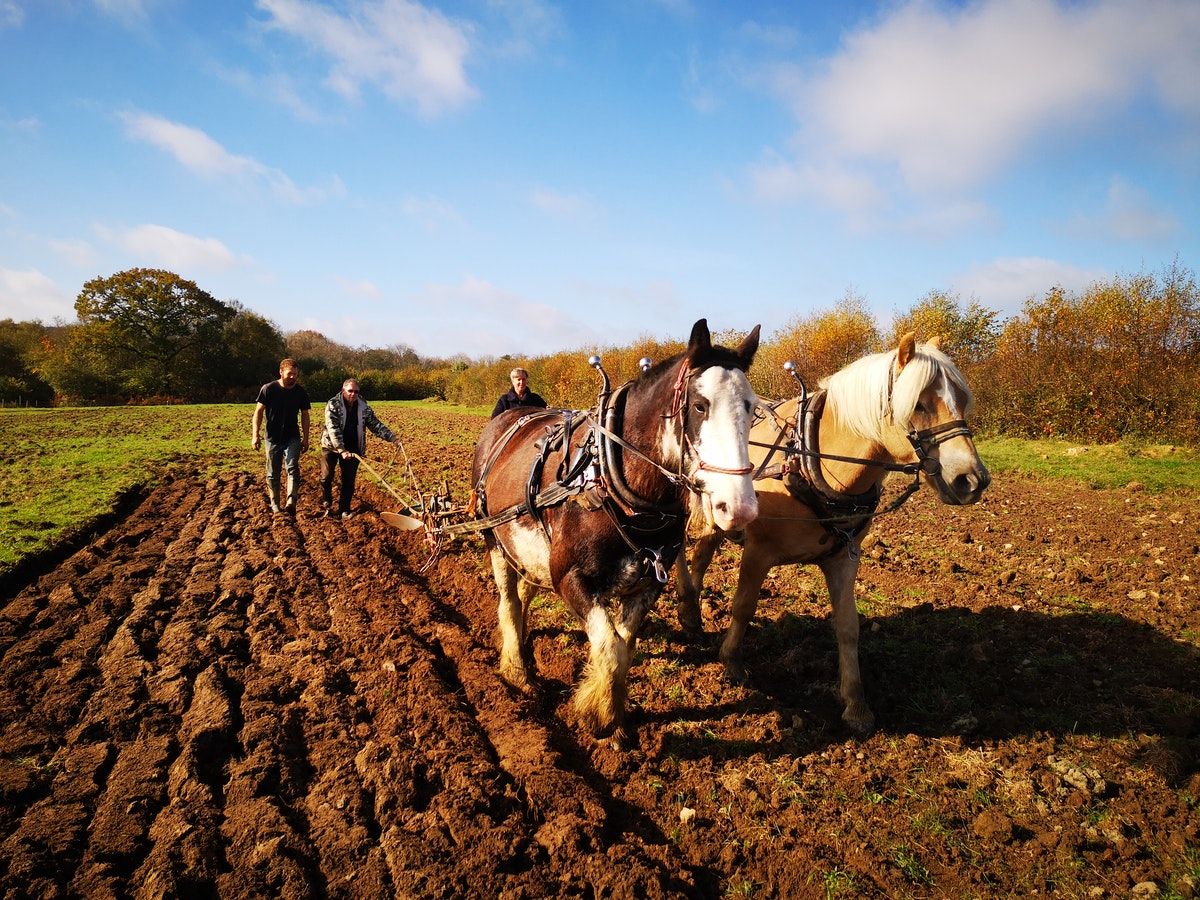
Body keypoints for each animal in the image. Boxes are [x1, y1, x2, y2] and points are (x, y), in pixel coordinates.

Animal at [471, 319, 760, 748]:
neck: (612, 480)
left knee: (524, 591)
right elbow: (608, 648)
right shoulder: (569, 578)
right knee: (508, 600)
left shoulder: (646, 585)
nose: (739, 507)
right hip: (494, 540)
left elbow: (623, 649)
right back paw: (515, 669)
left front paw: (613, 716)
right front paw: (596, 718)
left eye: (751, 407)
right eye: (699, 405)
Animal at [674, 332, 991, 735]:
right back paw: (688, 608)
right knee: (691, 555)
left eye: (962, 401)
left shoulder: (844, 558)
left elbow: (848, 626)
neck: (809, 460)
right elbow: (743, 606)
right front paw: (731, 663)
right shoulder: (758, 551)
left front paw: (855, 705)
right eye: (919, 404)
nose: (972, 480)